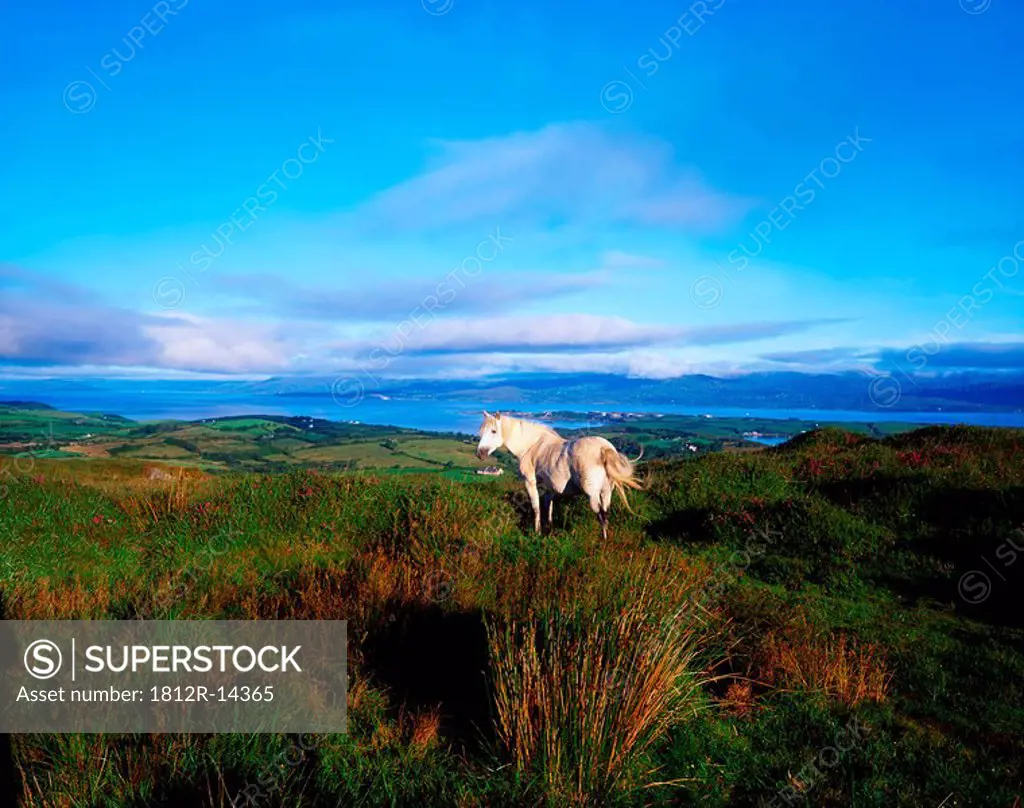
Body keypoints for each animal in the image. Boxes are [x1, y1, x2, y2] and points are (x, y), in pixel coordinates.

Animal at [477, 413, 638, 540]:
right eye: (481, 431)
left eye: (493, 431)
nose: (480, 454)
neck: (532, 445)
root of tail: (603, 449)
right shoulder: (550, 487)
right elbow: (548, 505)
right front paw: (549, 528)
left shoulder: (530, 482)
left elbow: (536, 507)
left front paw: (537, 532)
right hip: (606, 492)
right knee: (606, 514)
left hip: (592, 495)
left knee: (601, 516)